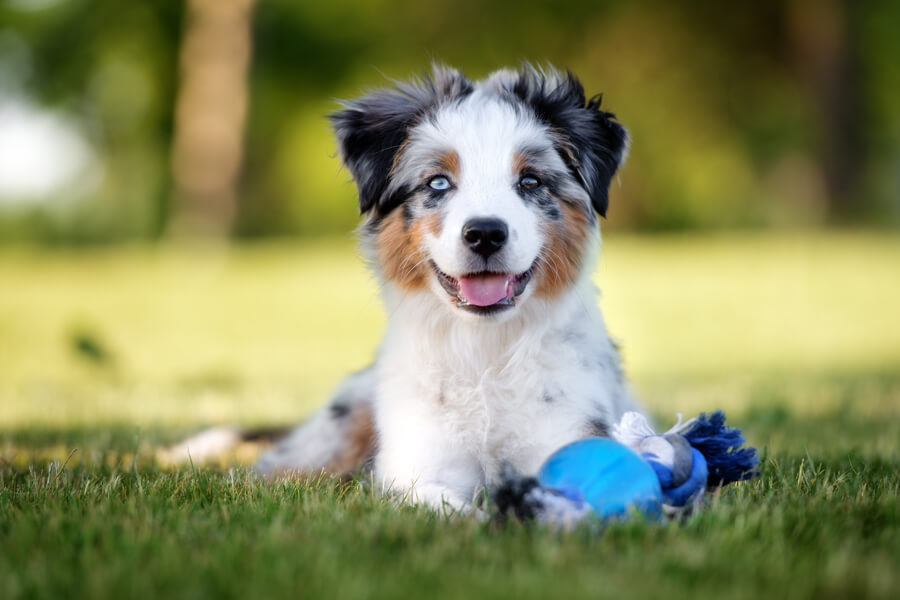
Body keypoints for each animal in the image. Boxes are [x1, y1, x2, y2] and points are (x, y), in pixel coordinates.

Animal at [253, 64, 640, 510]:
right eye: (438, 183)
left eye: (530, 181)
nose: (485, 234)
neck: (484, 353)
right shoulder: (416, 469)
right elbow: (452, 511)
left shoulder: (567, 433)